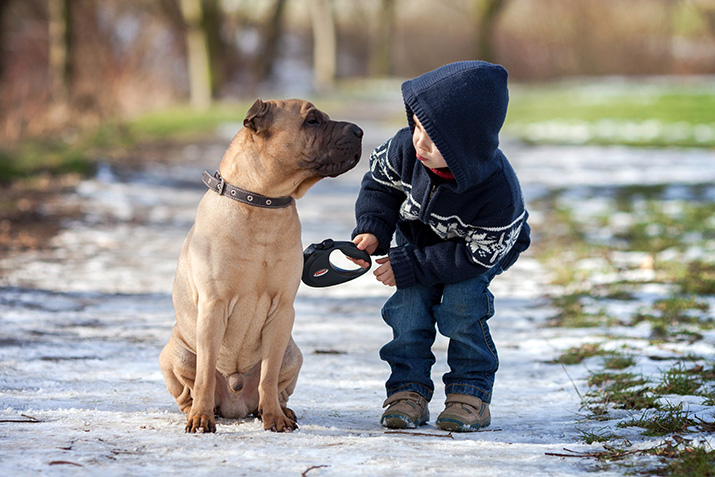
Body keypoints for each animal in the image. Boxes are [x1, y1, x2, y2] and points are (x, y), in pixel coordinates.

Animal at [162, 99, 364, 432]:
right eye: (312, 120)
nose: (359, 131)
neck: (262, 202)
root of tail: (235, 402)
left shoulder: (282, 310)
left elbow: (268, 376)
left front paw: (274, 418)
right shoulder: (214, 305)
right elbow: (205, 374)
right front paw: (201, 418)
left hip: (293, 353)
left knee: (275, 385)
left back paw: (280, 411)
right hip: (176, 353)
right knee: (190, 388)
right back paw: (199, 410)